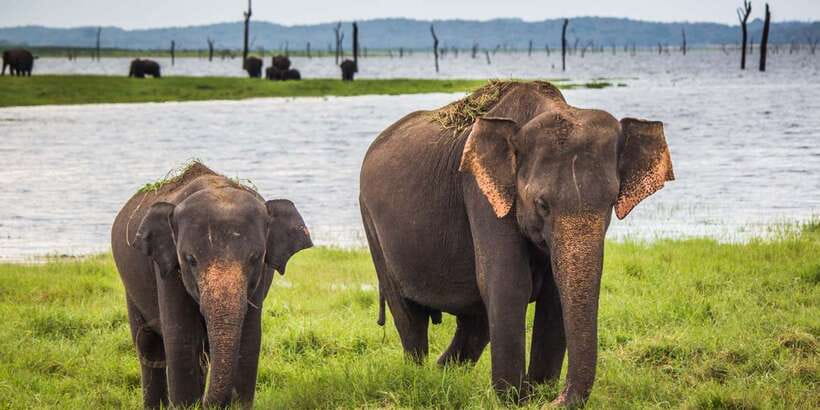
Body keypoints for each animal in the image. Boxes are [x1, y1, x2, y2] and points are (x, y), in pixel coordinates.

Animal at [111, 162, 312, 408]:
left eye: (255, 258)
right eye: (190, 260)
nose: (208, 402)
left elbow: (250, 338)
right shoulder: (167, 270)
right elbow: (180, 337)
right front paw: (188, 405)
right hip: (131, 288)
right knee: (149, 347)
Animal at [359, 81, 674, 406]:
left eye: (611, 202)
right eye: (542, 205)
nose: (555, 399)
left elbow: (553, 295)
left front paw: (536, 395)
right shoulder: (481, 193)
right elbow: (508, 284)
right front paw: (515, 400)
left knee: (474, 324)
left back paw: (441, 375)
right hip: (372, 224)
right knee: (411, 320)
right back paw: (419, 376)